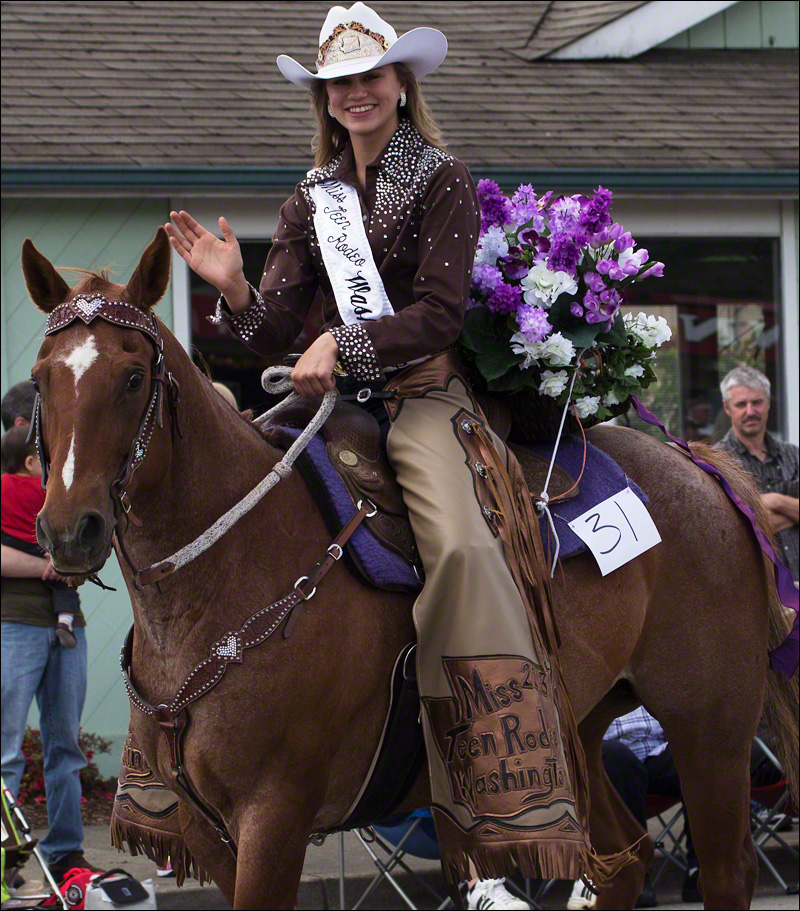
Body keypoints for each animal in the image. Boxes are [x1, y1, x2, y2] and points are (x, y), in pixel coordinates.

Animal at [21, 230, 796, 911]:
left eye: (132, 377)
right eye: (39, 380)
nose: (68, 529)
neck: (219, 583)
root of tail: (701, 465)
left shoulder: (274, 816)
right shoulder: (205, 828)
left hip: (711, 726)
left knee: (723, 873)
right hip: (582, 724)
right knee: (628, 859)